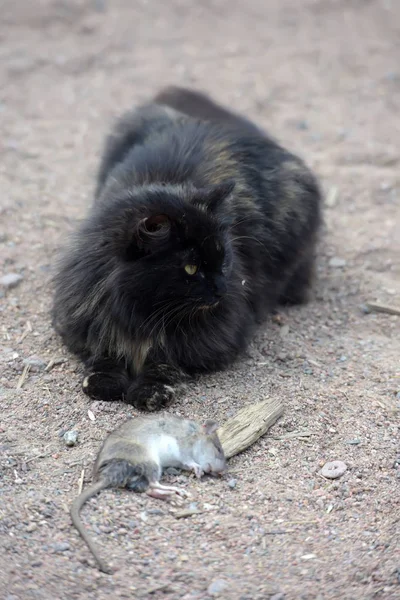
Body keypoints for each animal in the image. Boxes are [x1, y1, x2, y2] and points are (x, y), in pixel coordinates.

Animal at [52, 85, 322, 412]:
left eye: (223, 259)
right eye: (191, 268)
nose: (222, 289)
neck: (139, 316)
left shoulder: (215, 337)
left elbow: (165, 360)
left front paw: (150, 390)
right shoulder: (83, 320)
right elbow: (103, 353)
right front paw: (104, 381)